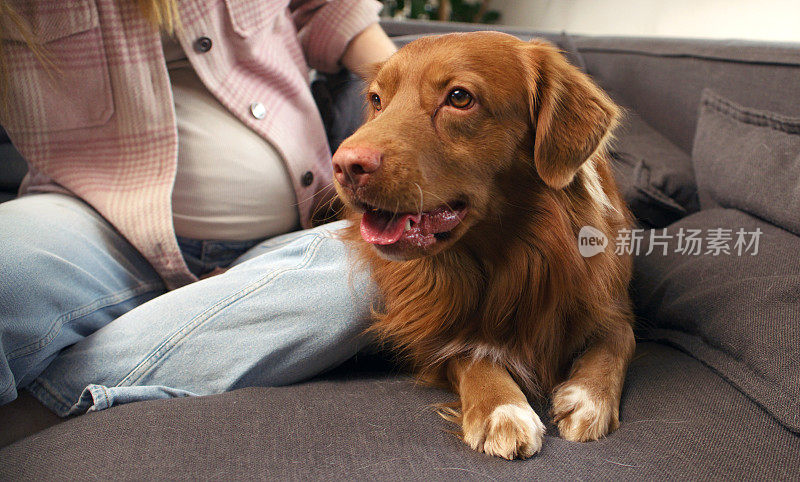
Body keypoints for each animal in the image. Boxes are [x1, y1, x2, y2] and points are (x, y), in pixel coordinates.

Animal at [328, 32, 636, 462]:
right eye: (376, 100)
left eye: (459, 97)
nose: (344, 165)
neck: (520, 251)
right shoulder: (436, 323)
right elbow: (471, 352)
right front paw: (501, 408)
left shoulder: (611, 302)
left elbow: (618, 340)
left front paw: (588, 398)